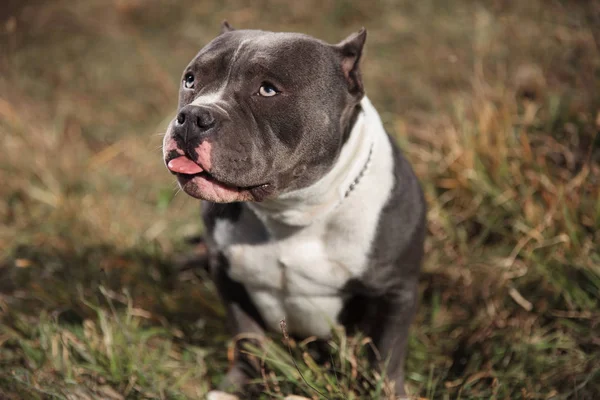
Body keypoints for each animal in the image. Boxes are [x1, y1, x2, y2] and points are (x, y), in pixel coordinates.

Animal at [164, 22, 426, 400]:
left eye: (268, 90)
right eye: (190, 79)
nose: (193, 116)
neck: (293, 211)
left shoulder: (396, 291)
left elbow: (387, 357)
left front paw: (386, 391)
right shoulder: (228, 276)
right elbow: (248, 340)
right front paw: (238, 386)